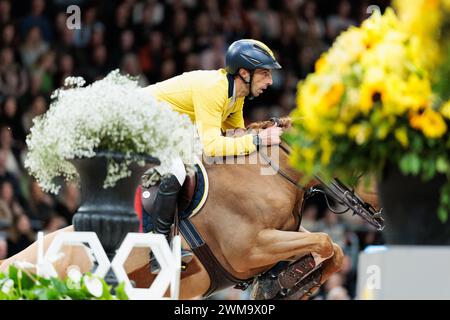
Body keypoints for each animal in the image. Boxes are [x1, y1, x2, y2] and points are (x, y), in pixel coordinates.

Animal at [0, 117, 344, 300]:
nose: (358, 204)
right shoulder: (251, 249)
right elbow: (325, 242)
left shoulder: (285, 233)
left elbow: (333, 249)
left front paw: (290, 281)